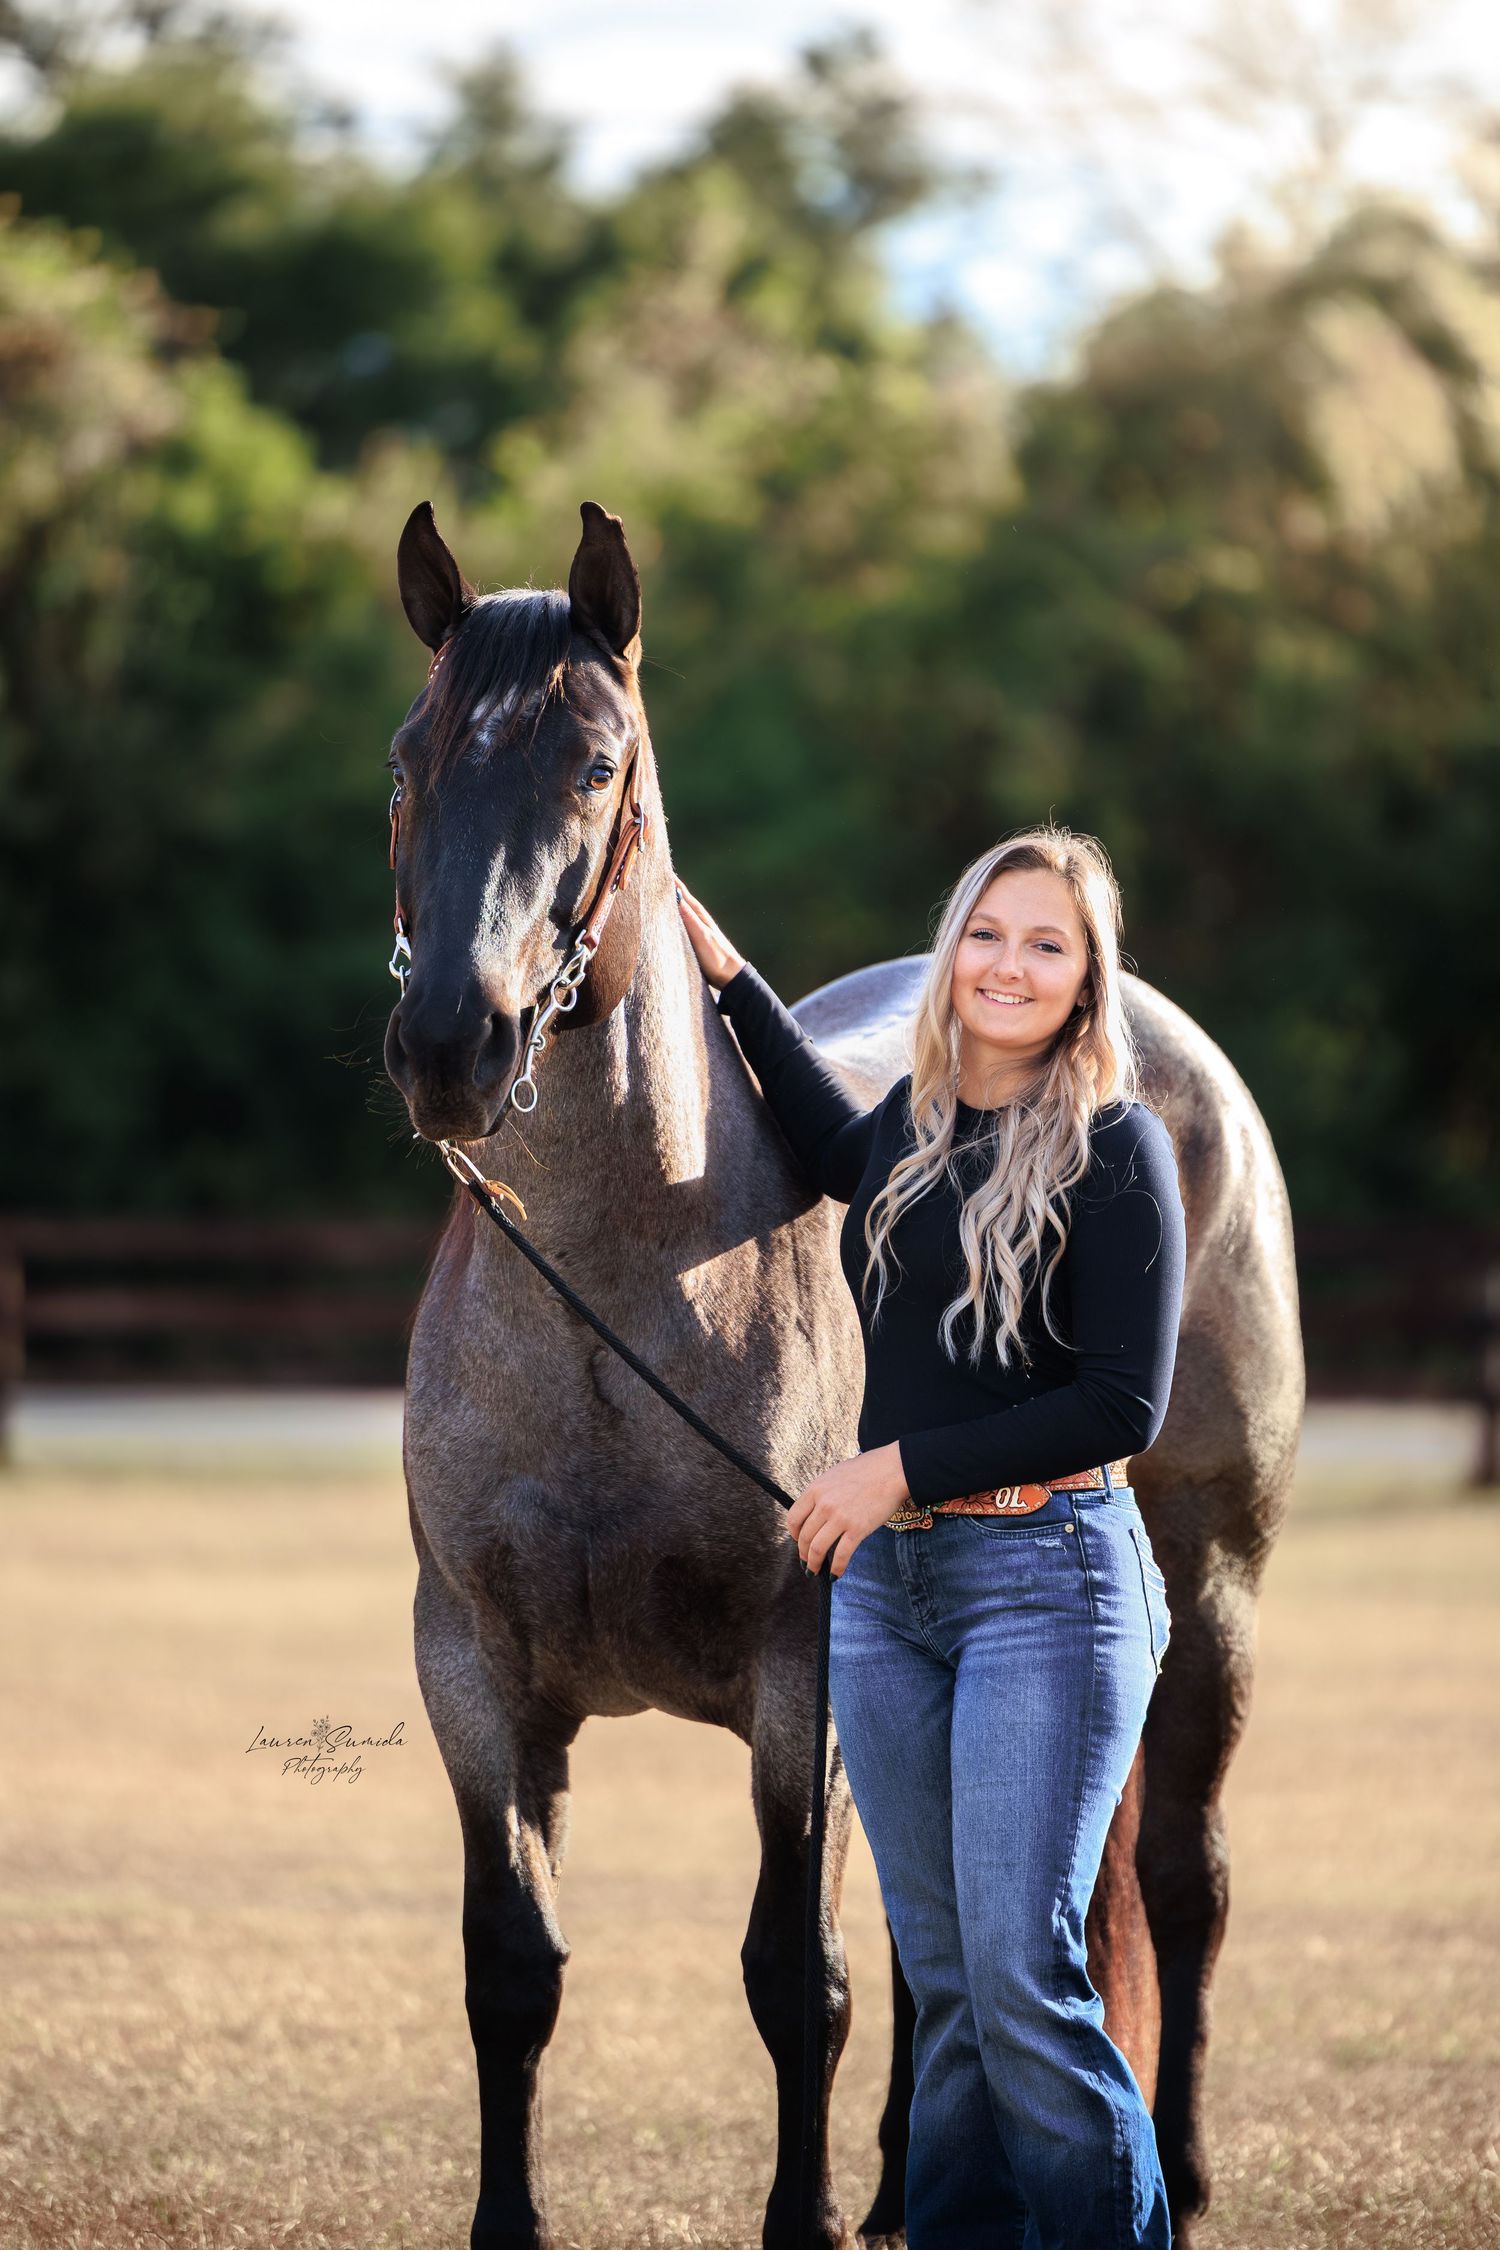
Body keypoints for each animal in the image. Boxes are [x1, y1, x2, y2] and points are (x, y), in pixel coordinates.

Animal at [382, 496, 1304, 2249]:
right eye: (409, 758)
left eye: (593, 765)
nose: (452, 1046)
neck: (614, 1306)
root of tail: (1171, 1044)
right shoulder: (475, 1676)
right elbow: (508, 1972)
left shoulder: (795, 1679)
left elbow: (790, 1981)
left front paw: (797, 2216)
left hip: (1211, 1589)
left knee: (1181, 1881)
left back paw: (1181, 2159)